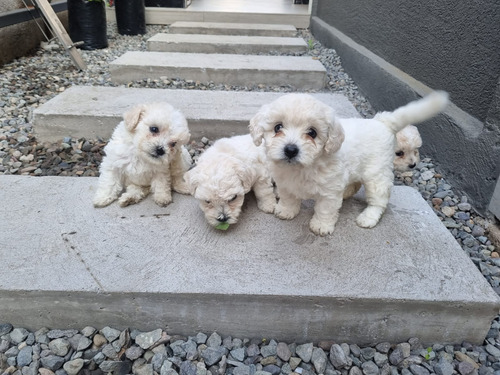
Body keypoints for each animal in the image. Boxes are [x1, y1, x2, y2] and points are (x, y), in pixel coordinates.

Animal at [250, 91, 450, 236]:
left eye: (312, 133)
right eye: (278, 127)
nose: (291, 150)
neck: (303, 168)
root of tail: (382, 121)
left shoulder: (329, 192)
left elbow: (325, 209)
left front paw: (321, 226)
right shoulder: (285, 184)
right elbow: (289, 198)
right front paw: (286, 211)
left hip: (376, 174)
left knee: (379, 199)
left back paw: (369, 217)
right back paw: (346, 192)